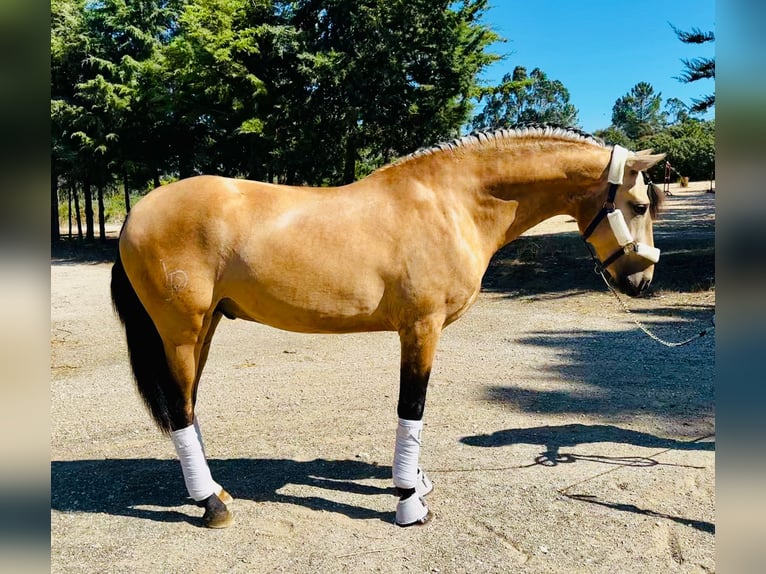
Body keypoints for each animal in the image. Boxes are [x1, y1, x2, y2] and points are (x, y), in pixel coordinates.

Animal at [109, 126, 664, 532]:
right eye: (639, 206)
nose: (641, 281)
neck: (451, 202)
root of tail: (136, 213)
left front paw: (415, 481)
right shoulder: (421, 328)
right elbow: (411, 407)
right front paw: (408, 500)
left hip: (203, 329)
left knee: (188, 405)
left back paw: (214, 492)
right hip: (181, 332)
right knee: (180, 409)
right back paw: (212, 504)